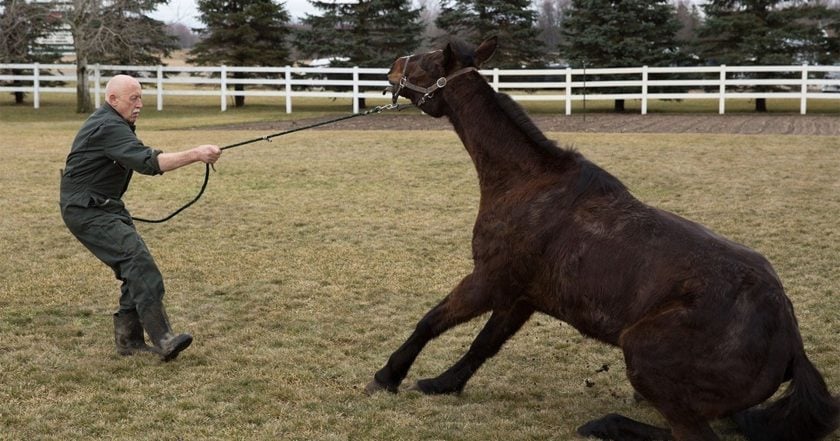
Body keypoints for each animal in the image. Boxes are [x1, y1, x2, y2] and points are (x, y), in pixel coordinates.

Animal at [370, 37, 840, 440]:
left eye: (429, 59)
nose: (392, 66)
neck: (528, 183)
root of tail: (789, 339)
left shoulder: (488, 281)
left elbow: (431, 321)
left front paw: (388, 376)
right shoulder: (522, 296)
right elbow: (484, 344)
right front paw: (443, 383)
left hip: (644, 355)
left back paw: (606, 424)